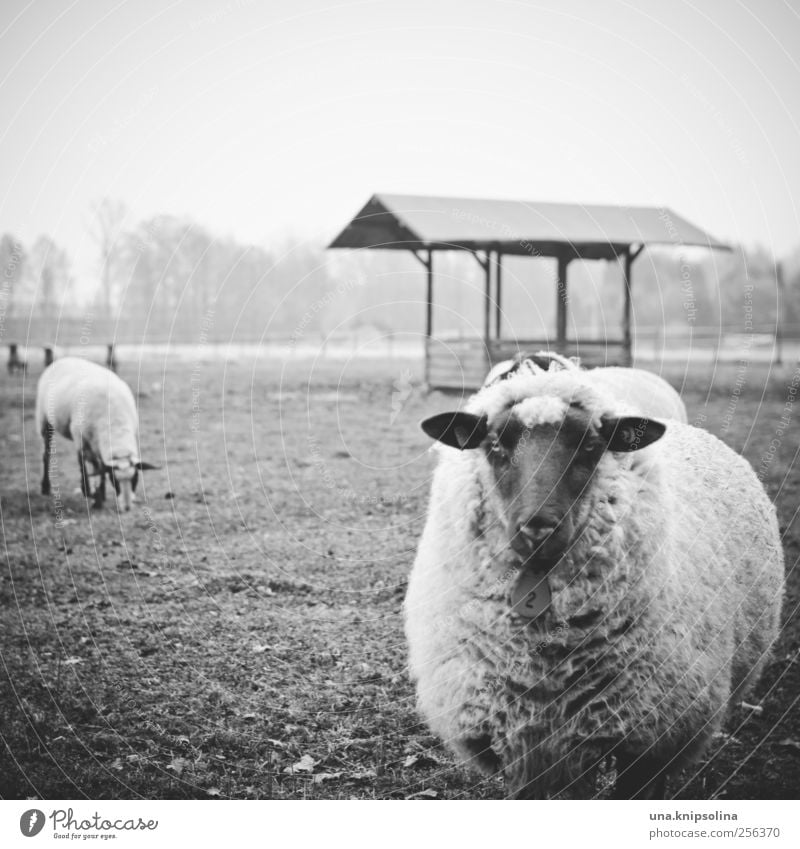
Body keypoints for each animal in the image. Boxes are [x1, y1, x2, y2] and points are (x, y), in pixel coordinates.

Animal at [36, 352, 158, 506]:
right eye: (114, 480)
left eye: (135, 478)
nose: (127, 504)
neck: (115, 424)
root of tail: (63, 359)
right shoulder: (80, 438)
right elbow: (86, 464)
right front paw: (88, 491)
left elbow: (100, 467)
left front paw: (100, 494)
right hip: (44, 420)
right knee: (46, 454)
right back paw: (46, 487)